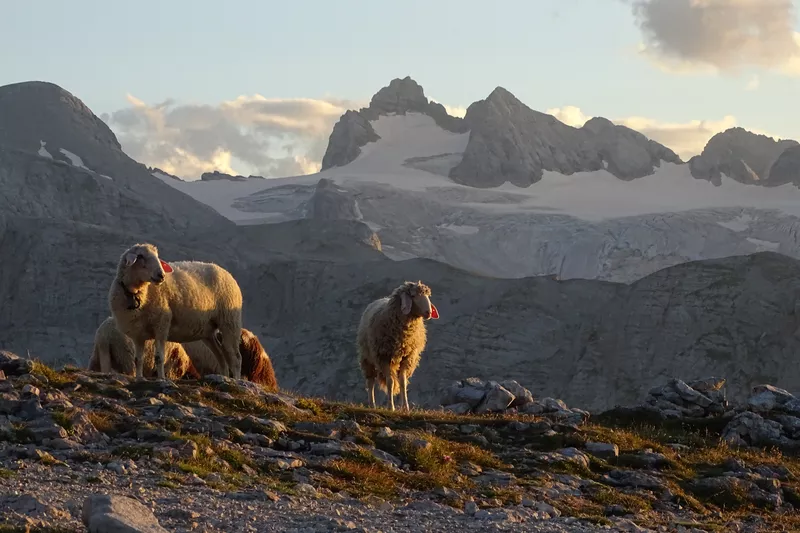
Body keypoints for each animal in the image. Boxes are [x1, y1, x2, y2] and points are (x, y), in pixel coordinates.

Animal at [108, 243, 244, 380]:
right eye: (140, 256)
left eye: (157, 257)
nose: (161, 275)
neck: (139, 293)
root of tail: (225, 271)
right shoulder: (138, 334)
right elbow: (138, 360)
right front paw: (139, 378)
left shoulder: (162, 324)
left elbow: (159, 357)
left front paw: (161, 378)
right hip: (208, 331)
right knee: (221, 356)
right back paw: (224, 377)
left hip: (229, 321)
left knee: (235, 357)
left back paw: (236, 379)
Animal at [358, 278, 440, 412]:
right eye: (413, 295)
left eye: (428, 296)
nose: (428, 312)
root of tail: (381, 299)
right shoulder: (384, 356)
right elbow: (390, 382)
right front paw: (390, 407)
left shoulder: (408, 357)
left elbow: (403, 382)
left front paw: (405, 407)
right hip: (367, 356)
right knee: (370, 381)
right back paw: (372, 404)